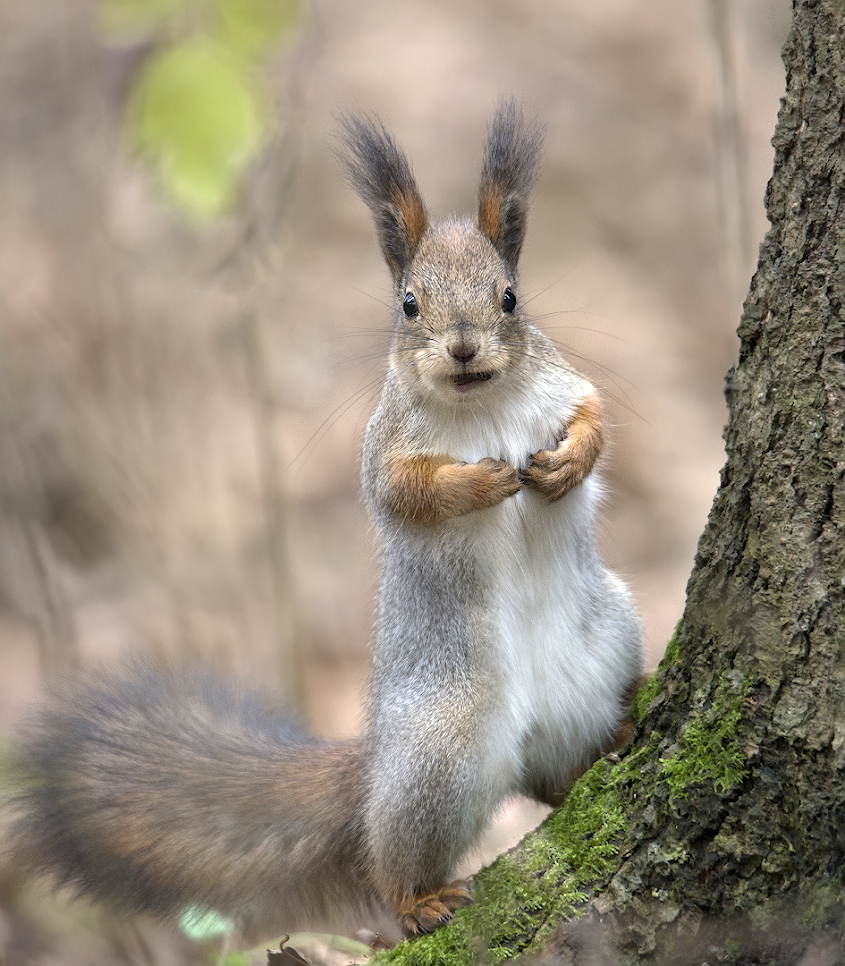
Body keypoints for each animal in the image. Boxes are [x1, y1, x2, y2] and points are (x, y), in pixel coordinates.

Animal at [9, 102, 644, 940]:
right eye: (408, 304)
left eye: (509, 296)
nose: (463, 347)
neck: (482, 404)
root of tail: (373, 764)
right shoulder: (384, 451)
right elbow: (407, 493)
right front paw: (478, 482)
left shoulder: (562, 385)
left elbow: (594, 419)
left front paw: (566, 464)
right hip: (437, 757)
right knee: (390, 853)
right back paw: (418, 899)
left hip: (611, 641)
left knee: (557, 777)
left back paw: (617, 738)